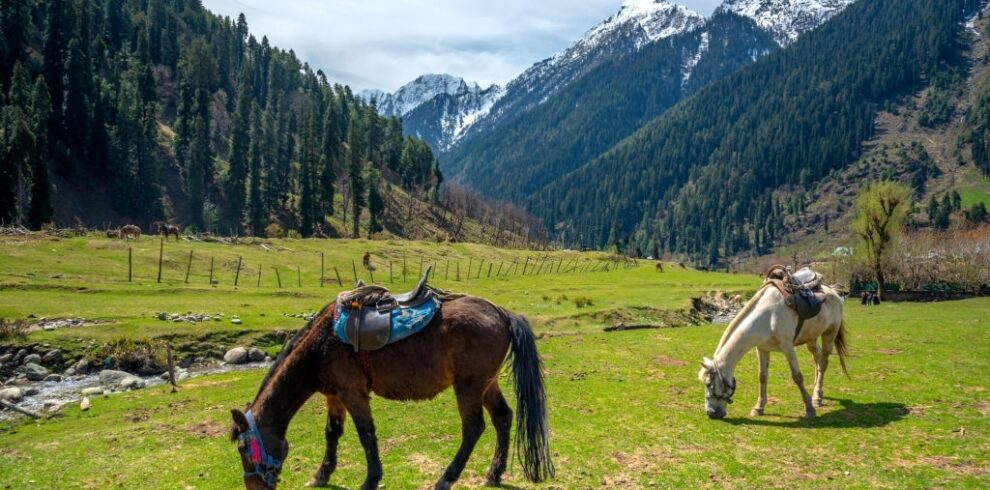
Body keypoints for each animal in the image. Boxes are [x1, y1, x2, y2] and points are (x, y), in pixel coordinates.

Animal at [229, 295, 554, 489]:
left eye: (244, 449)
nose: (254, 487)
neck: (321, 346)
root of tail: (501, 313)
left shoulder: (353, 393)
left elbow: (366, 435)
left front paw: (371, 479)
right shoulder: (334, 396)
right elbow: (332, 434)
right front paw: (322, 474)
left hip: (469, 386)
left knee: (474, 428)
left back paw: (446, 478)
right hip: (487, 384)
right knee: (503, 418)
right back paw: (494, 473)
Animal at [698, 278, 849, 420]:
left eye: (709, 384)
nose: (711, 413)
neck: (768, 317)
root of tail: (834, 292)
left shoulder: (788, 348)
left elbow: (797, 377)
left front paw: (810, 409)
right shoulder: (762, 349)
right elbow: (762, 377)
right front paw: (758, 407)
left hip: (829, 334)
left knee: (823, 363)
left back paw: (817, 397)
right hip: (811, 339)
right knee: (817, 357)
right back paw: (818, 389)